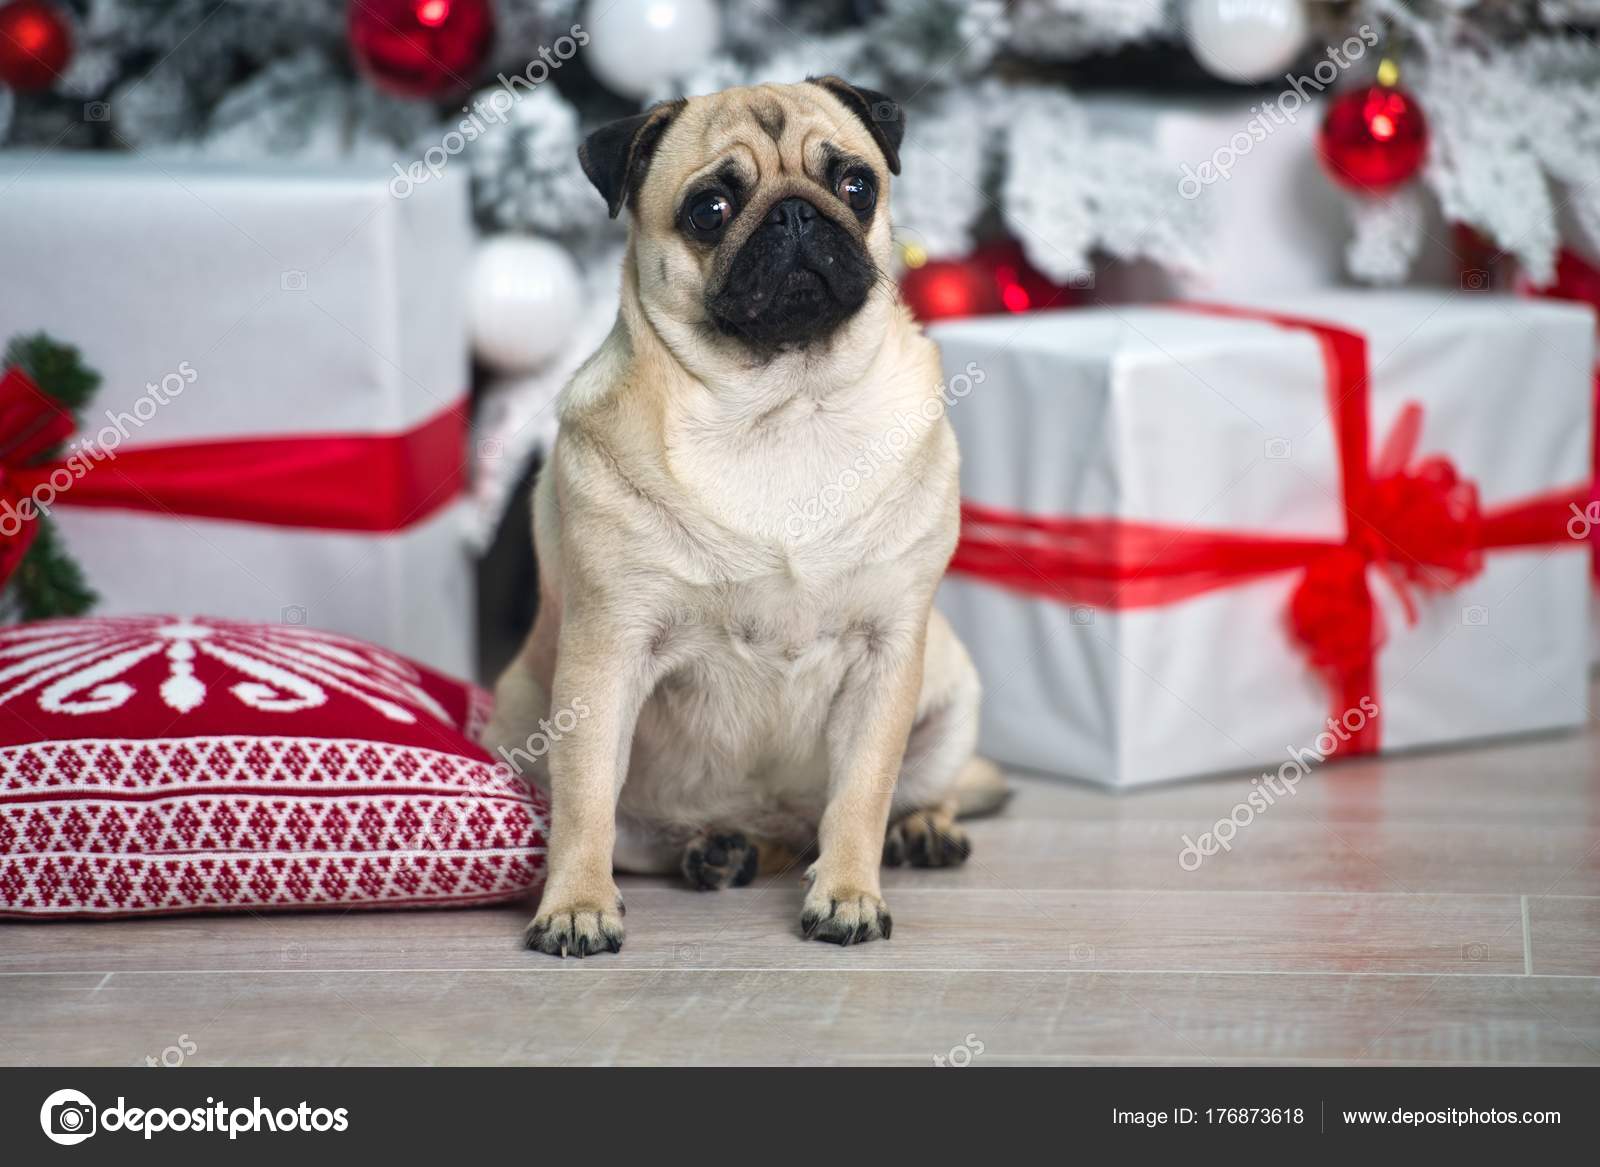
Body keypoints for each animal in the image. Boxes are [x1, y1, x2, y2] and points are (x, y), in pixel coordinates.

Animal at [486, 79, 1004, 954]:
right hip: (518, 720)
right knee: (636, 829)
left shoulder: (888, 652)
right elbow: (586, 800)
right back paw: (715, 849)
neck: (781, 406)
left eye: (855, 185)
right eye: (711, 208)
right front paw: (577, 903)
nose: (795, 213)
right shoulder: (605, 653)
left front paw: (848, 892)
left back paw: (921, 828)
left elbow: (863, 791)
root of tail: (773, 824)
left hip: (951, 699)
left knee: (907, 794)